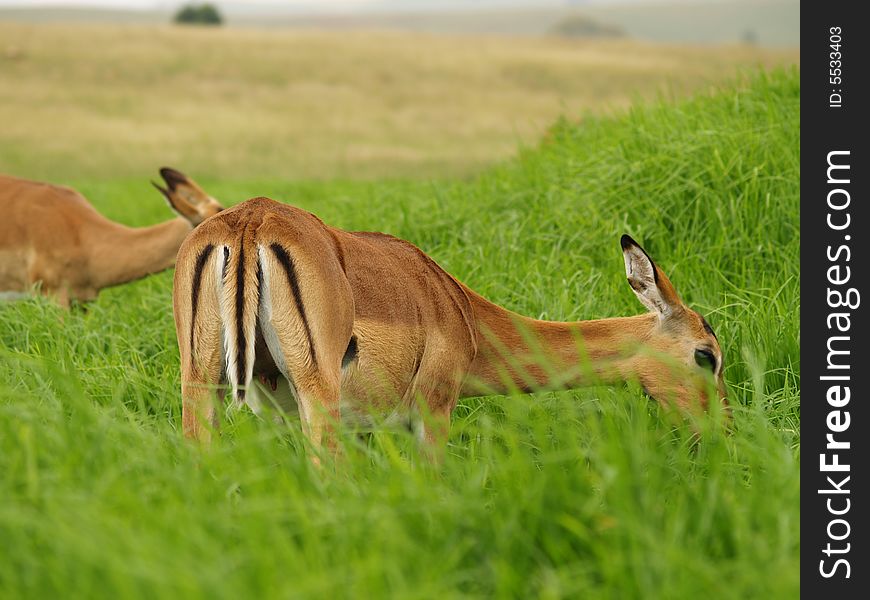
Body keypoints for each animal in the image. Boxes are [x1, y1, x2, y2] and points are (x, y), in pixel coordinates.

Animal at [172, 197, 728, 454]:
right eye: (708, 356)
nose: (723, 431)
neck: (463, 314)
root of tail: (250, 223)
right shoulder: (432, 412)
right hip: (316, 394)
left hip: (202, 381)